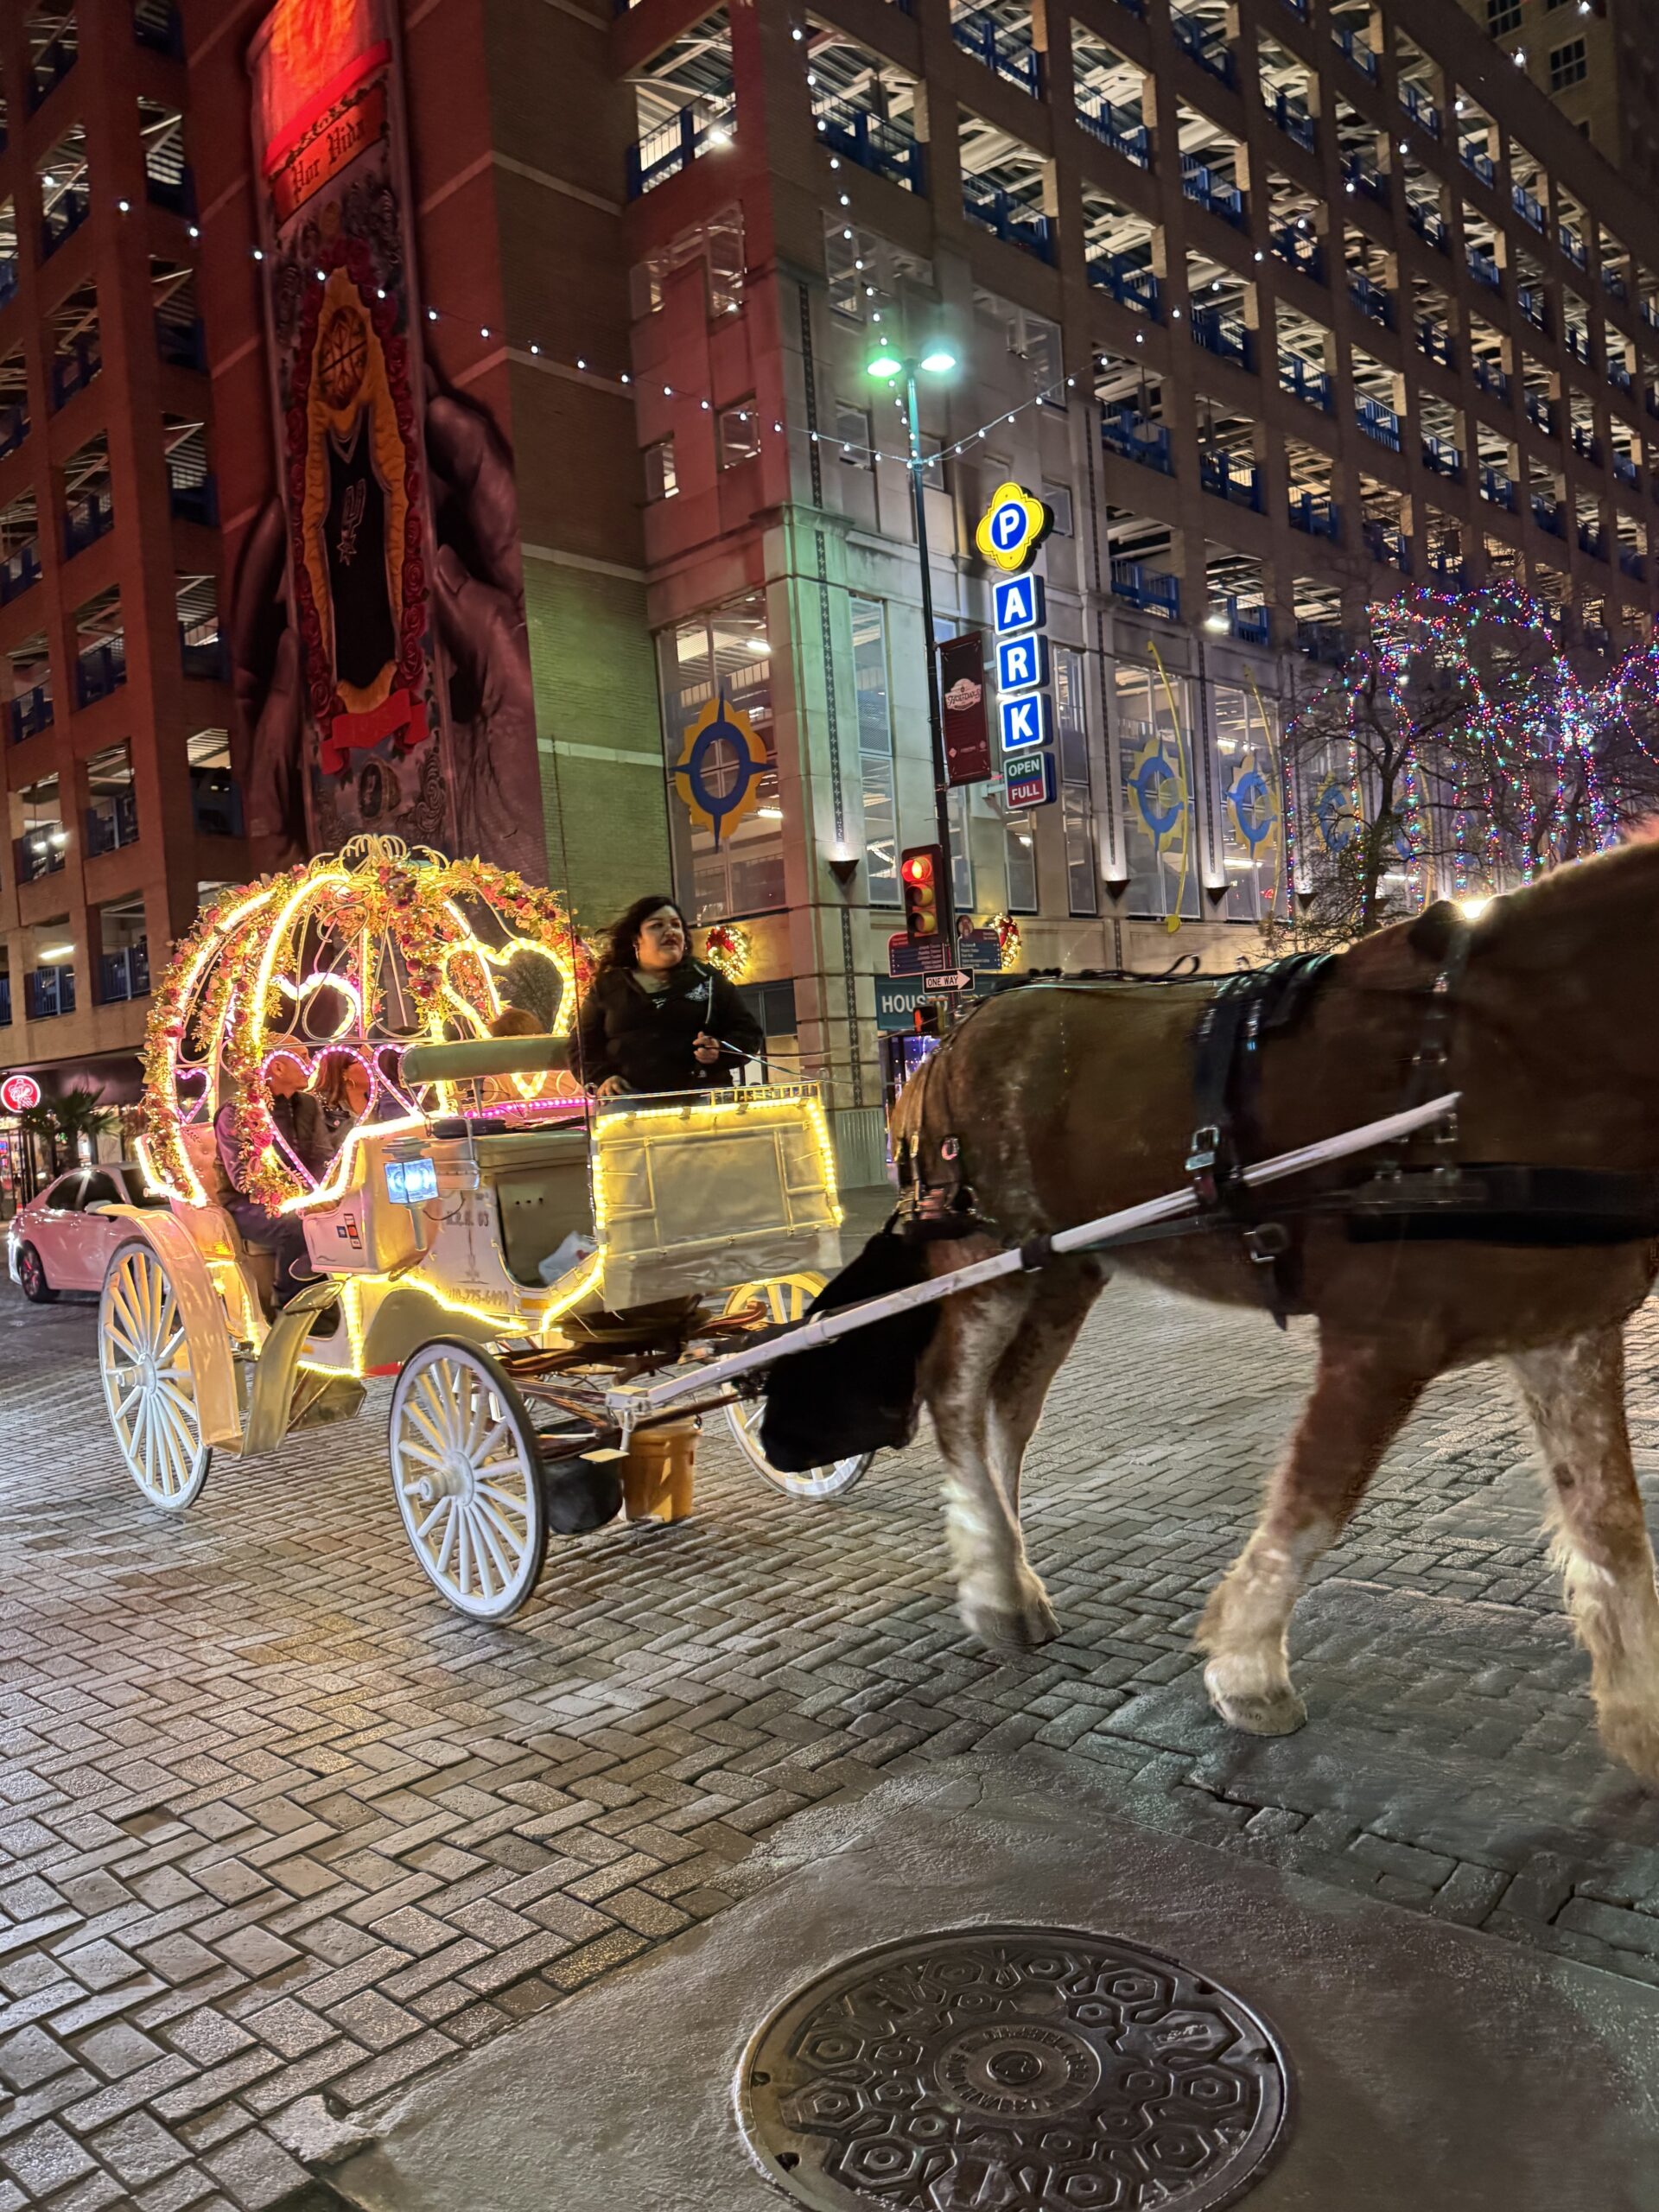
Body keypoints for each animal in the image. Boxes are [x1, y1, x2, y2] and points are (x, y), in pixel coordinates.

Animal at [898, 836, 1659, 1787]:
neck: (1522, 1051)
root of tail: (954, 1032)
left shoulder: (1567, 1331)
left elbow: (1614, 1531)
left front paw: (1642, 1718)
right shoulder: (1382, 1335)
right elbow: (1315, 1503)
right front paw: (1248, 1669)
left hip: (1064, 1271)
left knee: (1011, 1408)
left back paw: (1012, 1570)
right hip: (986, 1263)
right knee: (955, 1397)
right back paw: (997, 1590)